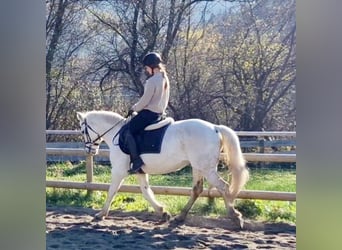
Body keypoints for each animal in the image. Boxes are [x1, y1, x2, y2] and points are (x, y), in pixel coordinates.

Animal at [77, 110, 248, 228]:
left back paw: (236, 217)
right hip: (198, 167)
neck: (117, 134)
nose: (89, 151)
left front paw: (101, 214)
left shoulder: (119, 171)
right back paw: (180, 217)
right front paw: (162, 212)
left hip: (206, 169)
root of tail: (215, 128)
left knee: (224, 187)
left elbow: (112, 191)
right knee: (197, 190)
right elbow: (146, 192)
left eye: (82, 131)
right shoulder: (139, 171)